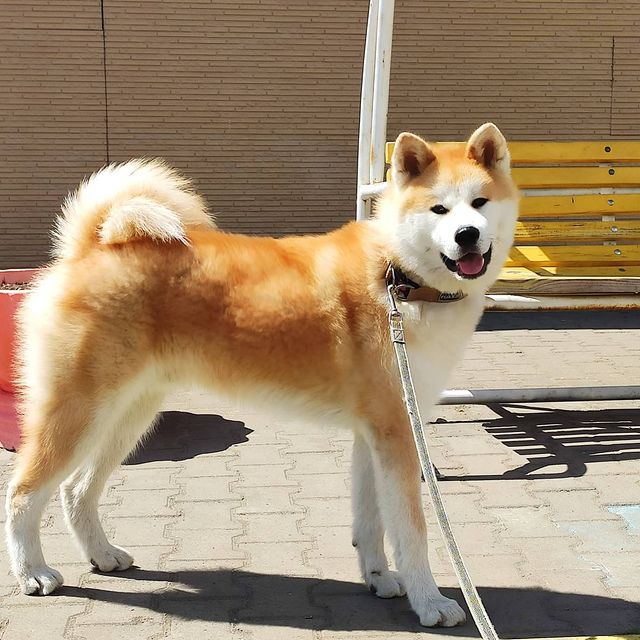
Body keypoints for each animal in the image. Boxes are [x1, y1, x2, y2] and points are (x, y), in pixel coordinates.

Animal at [5, 122, 516, 628]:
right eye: (439, 208)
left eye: (479, 203)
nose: (467, 234)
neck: (398, 276)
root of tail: (90, 247)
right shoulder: (398, 435)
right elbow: (413, 531)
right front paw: (429, 602)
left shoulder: (374, 435)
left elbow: (369, 523)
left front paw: (379, 578)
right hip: (78, 413)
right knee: (22, 492)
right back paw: (33, 573)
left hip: (129, 417)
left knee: (76, 490)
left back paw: (103, 555)